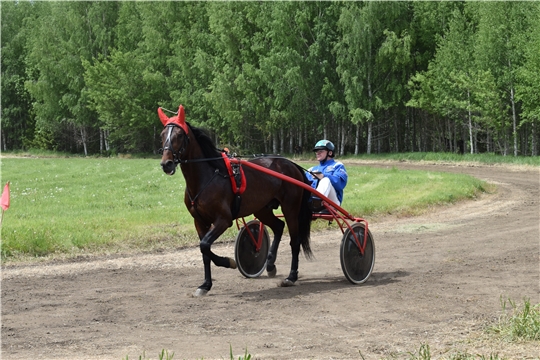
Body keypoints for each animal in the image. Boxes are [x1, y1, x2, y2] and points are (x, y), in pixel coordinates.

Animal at [156, 105, 312, 296]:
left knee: (295, 241)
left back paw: (291, 276)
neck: (208, 176)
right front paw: (205, 285)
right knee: (278, 226)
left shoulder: (223, 219)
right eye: (163, 134)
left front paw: (228, 262)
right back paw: (270, 264)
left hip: (290, 207)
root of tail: (291, 164)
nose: (167, 164)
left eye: (179, 135)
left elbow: (205, 245)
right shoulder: (199, 221)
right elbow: (204, 252)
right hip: (262, 209)